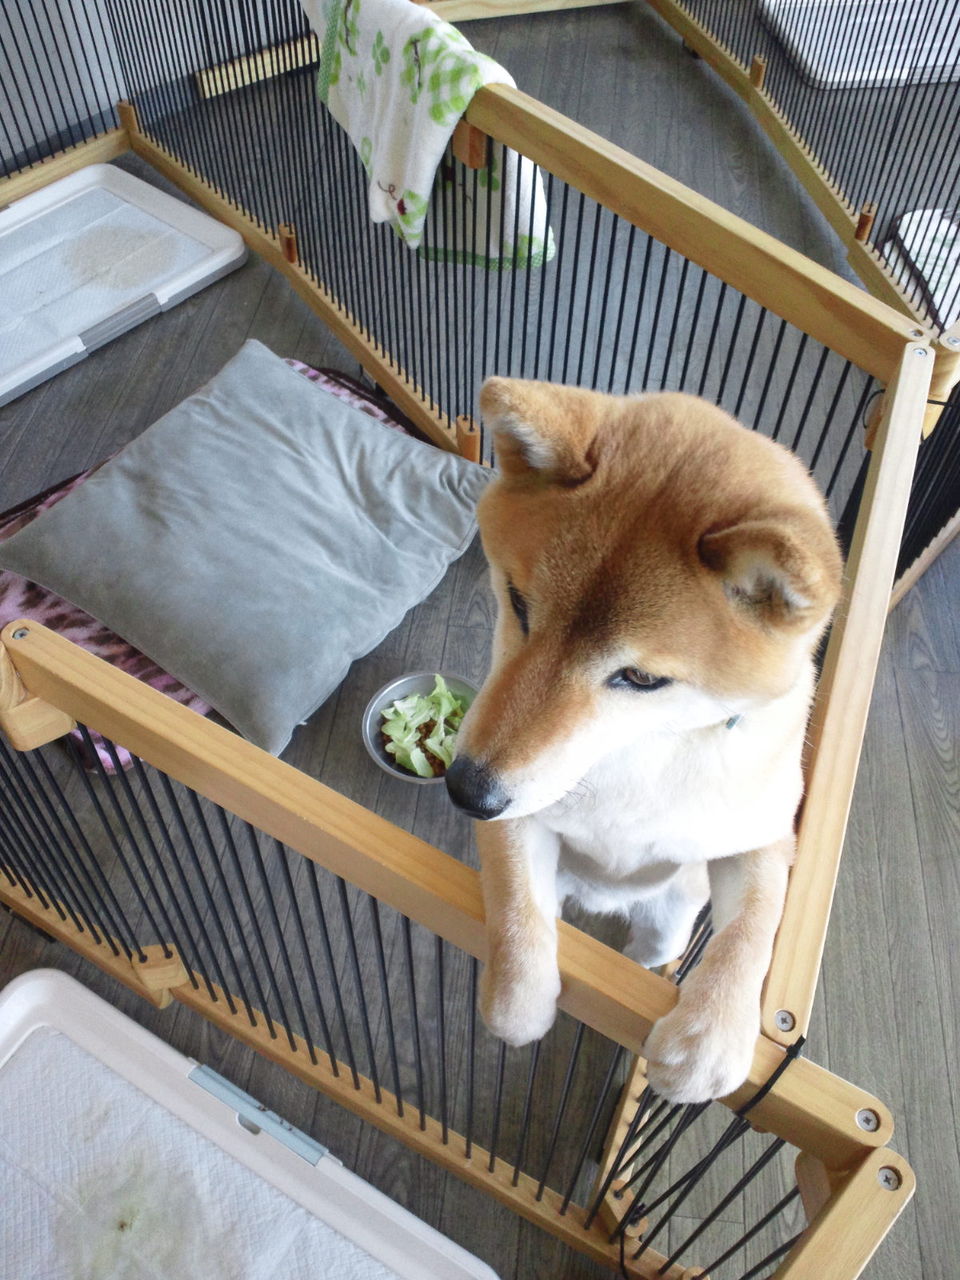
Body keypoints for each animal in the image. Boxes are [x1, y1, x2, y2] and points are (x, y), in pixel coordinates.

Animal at [444, 377, 843, 1103]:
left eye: (641, 678)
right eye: (518, 605)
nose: (464, 790)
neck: (636, 758)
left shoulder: (763, 838)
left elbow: (755, 927)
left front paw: (710, 1038)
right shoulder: (516, 804)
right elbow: (514, 900)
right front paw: (518, 1002)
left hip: (669, 915)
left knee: (657, 946)